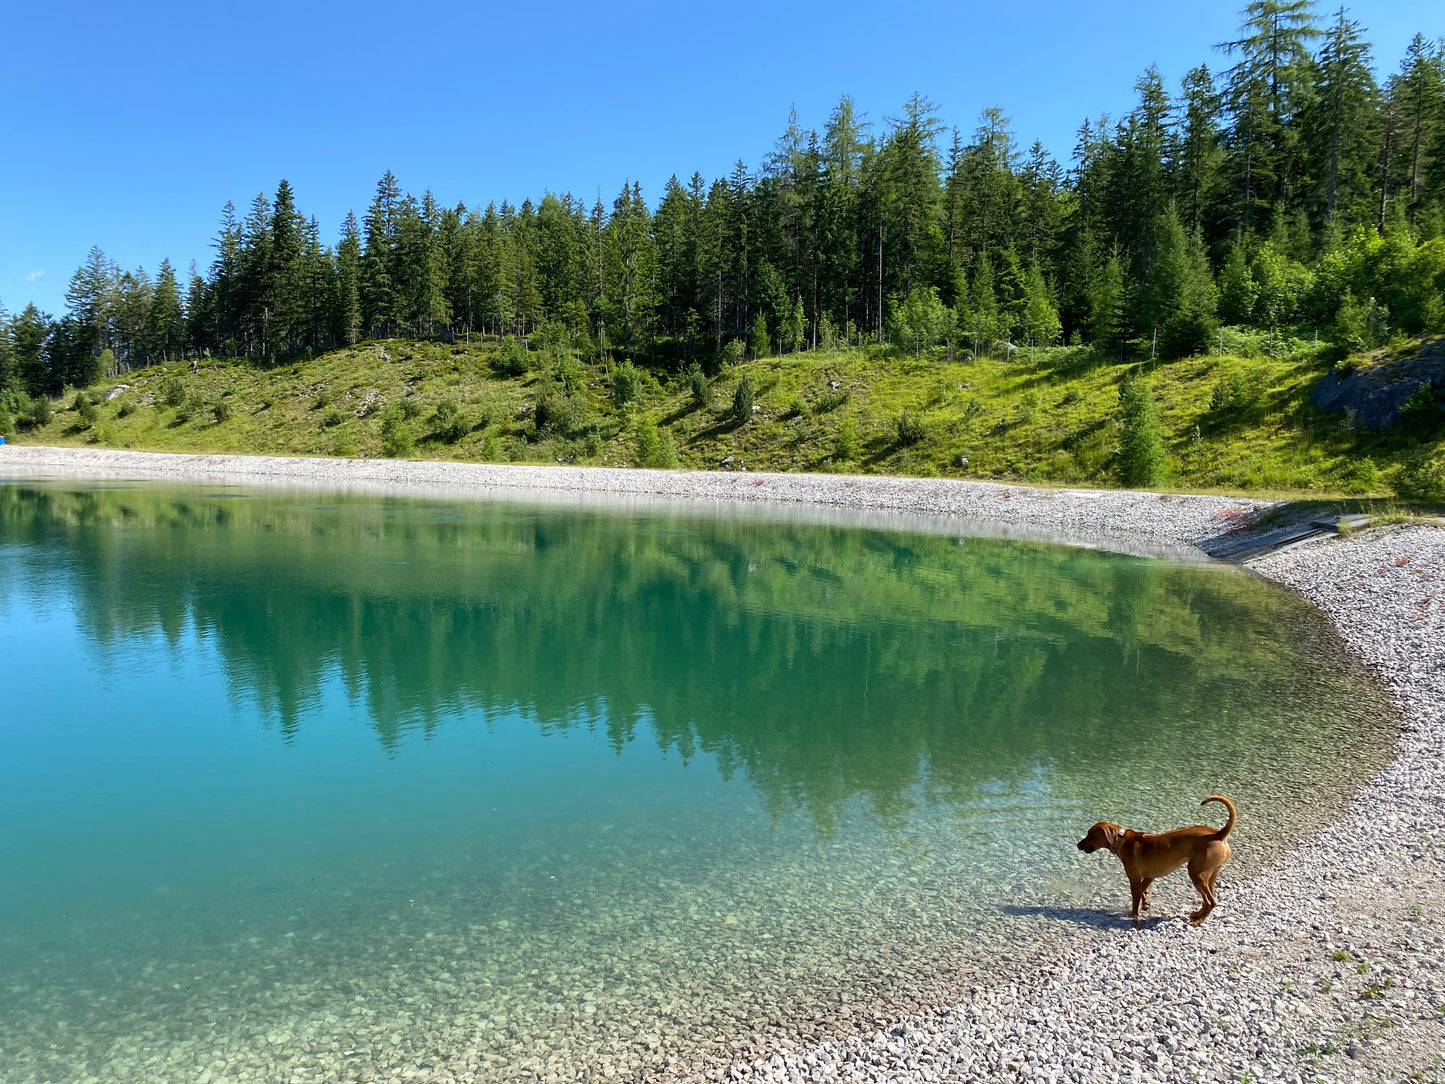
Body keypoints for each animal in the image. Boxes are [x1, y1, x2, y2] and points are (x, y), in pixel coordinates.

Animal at [1080, 797, 1236, 925]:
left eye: (1091, 835)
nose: (1078, 845)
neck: (1121, 840)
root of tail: (1218, 834)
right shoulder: (1149, 876)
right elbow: (1144, 890)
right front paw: (1145, 903)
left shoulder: (1134, 881)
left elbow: (1135, 902)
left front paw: (1134, 915)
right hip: (1210, 876)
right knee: (1210, 900)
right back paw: (1198, 914)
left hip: (1196, 874)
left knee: (1210, 901)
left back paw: (1199, 921)